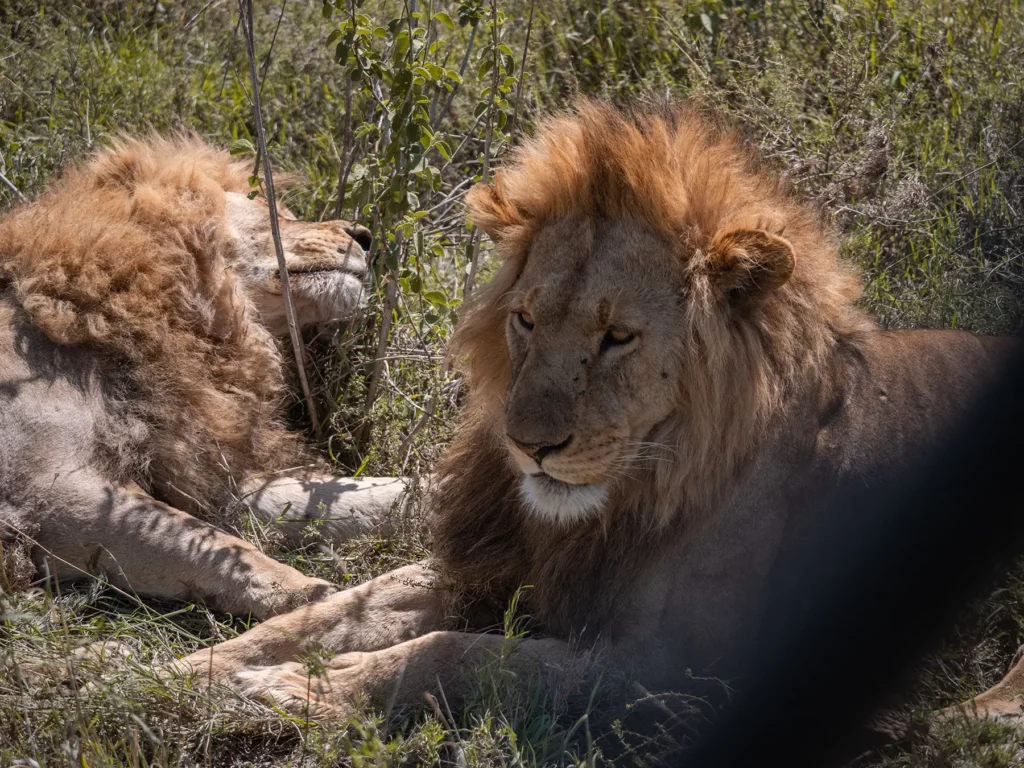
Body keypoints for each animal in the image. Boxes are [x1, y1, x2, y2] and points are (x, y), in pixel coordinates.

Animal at [0, 135, 404, 620]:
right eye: (271, 207)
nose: (366, 237)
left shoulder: (197, 469)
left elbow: (342, 496)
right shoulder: (48, 491)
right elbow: (218, 546)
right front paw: (325, 603)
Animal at [176, 100, 1023, 727]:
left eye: (617, 337)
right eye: (525, 320)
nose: (530, 446)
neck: (623, 497)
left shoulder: (682, 669)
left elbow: (463, 656)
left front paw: (302, 688)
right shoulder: (502, 566)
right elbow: (334, 610)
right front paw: (182, 669)